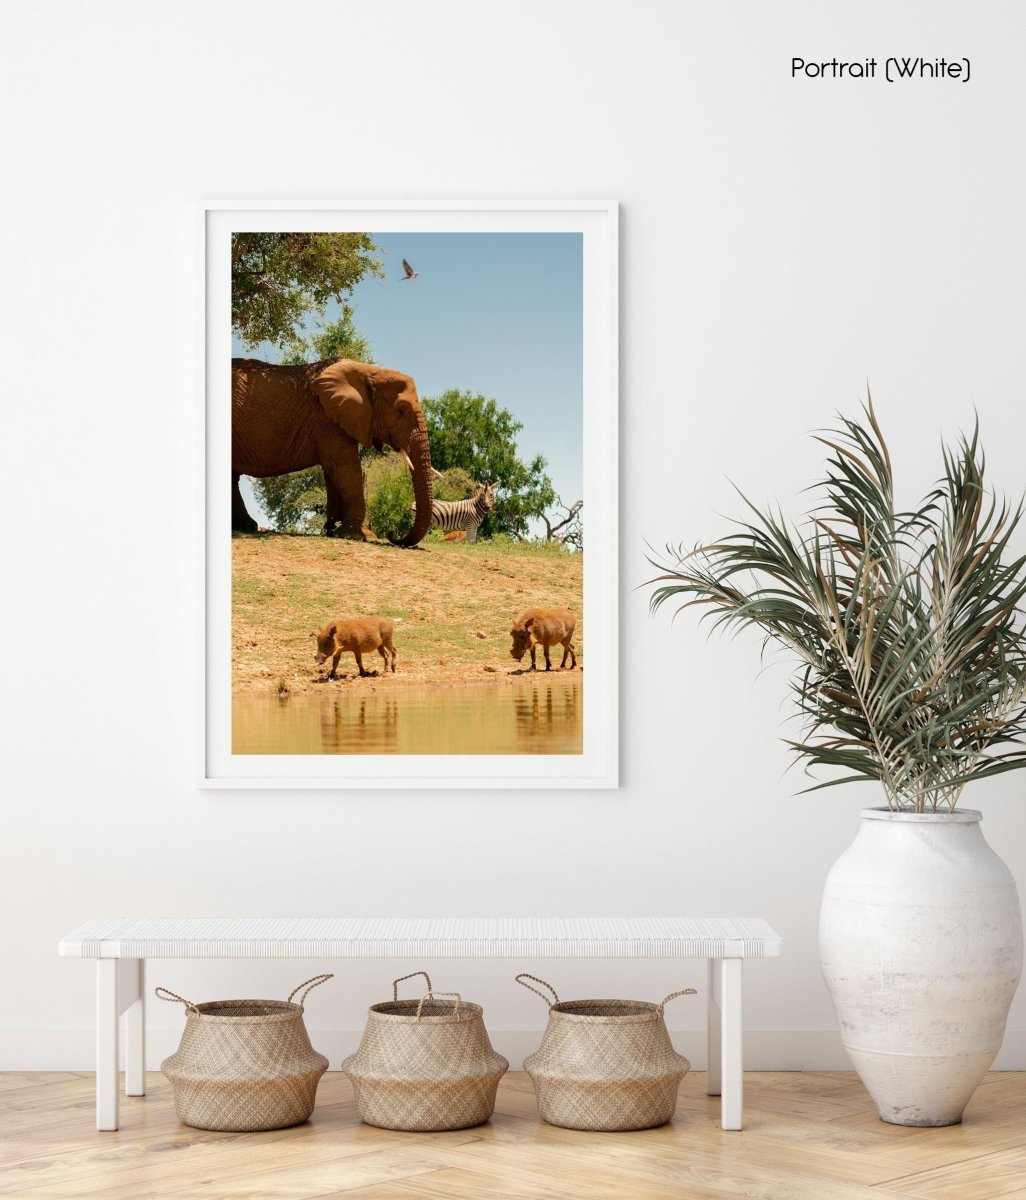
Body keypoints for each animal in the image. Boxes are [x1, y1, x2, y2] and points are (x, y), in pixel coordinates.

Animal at [230, 352, 434, 547]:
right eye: (400, 411)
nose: (393, 535)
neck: (369, 371)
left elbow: (333, 472)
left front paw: (331, 531)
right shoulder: (328, 419)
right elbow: (346, 470)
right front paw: (352, 536)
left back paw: (246, 526)